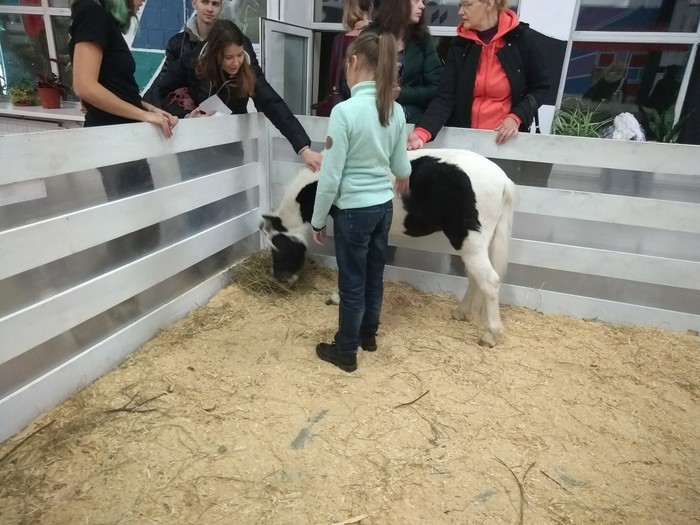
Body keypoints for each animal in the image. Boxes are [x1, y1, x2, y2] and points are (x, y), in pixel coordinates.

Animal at [260, 149, 517, 347]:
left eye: (277, 246)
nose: (280, 278)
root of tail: (502, 179)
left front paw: (337, 297)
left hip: (470, 244)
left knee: (490, 282)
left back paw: (490, 335)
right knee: (475, 279)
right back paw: (461, 313)